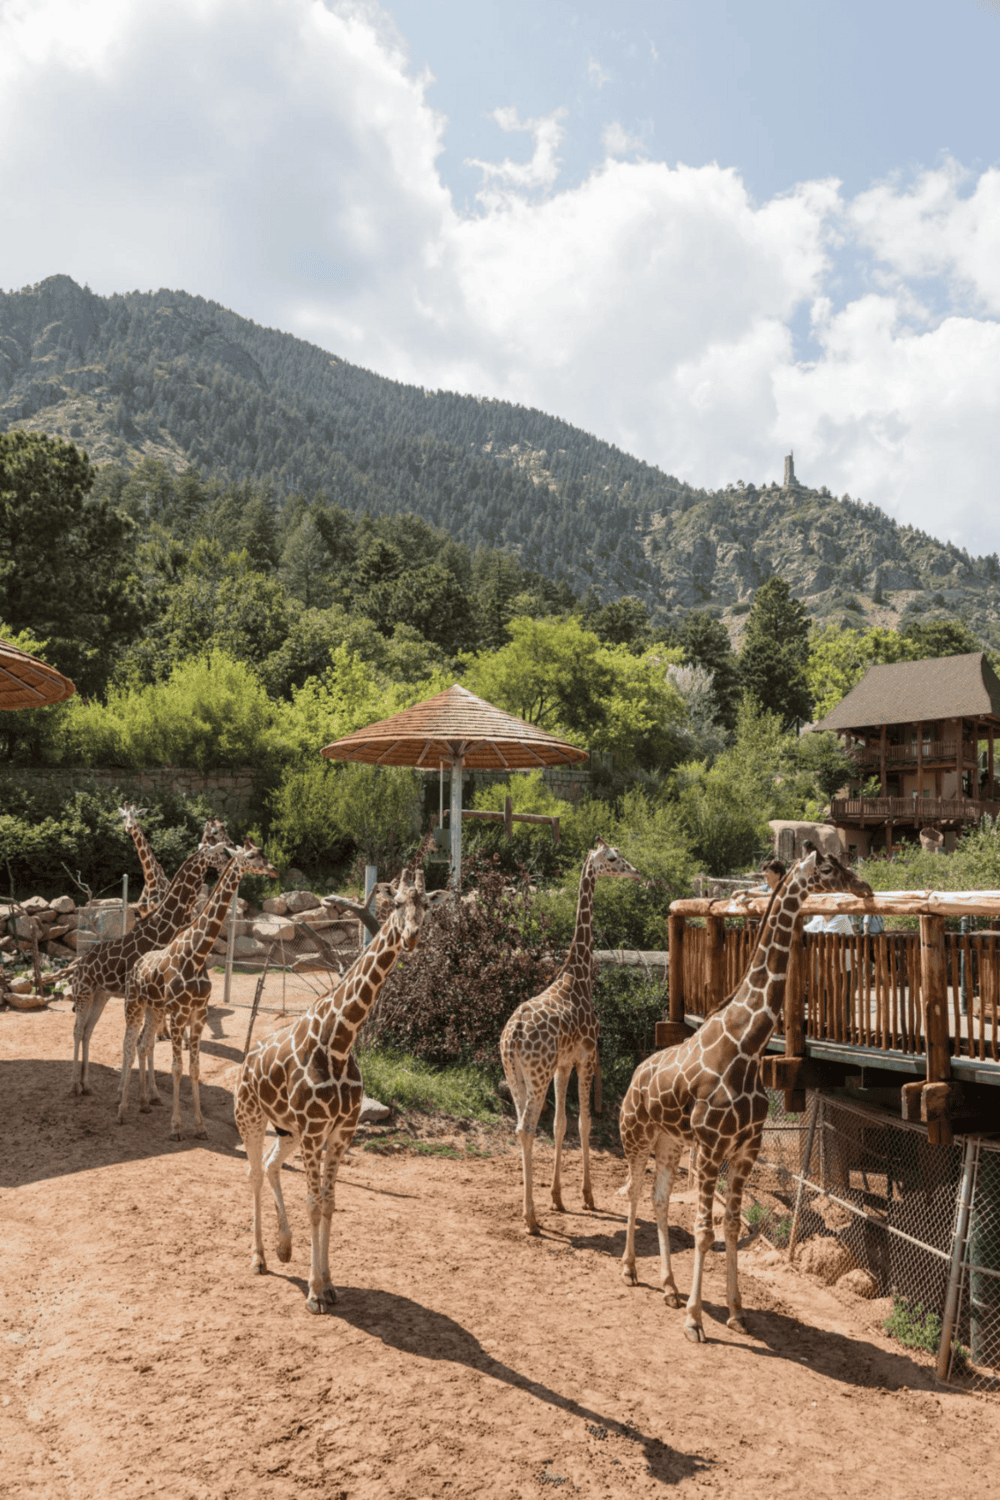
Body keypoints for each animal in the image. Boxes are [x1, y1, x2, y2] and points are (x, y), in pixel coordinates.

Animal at [70, 819, 231, 1096]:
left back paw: (87, 1083)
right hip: (84, 992)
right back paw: (74, 1085)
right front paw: (137, 1090)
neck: (161, 927)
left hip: (101, 995)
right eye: (217, 846)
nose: (228, 858)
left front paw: (148, 1090)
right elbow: (140, 1042)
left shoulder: (151, 998)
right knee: (77, 1030)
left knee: (88, 1031)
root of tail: (80, 965)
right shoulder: (144, 996)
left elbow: (146, 1043)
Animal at [117, 840, 279, 1138]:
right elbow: (177, 1067)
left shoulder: (199, 1014)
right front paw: (176, 1126)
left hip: (155, 1009)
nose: (273, 869)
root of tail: (136, 965)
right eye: (252, 856)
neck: (199, 954)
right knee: (128, 1046)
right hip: (133, 1005)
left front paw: (200, 1126)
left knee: (143, 1044)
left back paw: (145, 1102)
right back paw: (122, 1109)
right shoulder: (179, 1014)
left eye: (263, 853)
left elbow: (194, 1068)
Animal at [234, 866, 431, 1313]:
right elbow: (313, 1204)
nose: (411, 936)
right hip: (251, 1118)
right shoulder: (314, 1131)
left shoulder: (339, 1132)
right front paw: (313, 1292)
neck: (340, 1042)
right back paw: (258, 1257)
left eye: (425, 905)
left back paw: (283, 1247)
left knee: (270, 1165)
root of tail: (246, 1062)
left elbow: (328, 1203)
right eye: (396, 903)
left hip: (287, 1130)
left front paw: (328, 1284)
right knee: (252, 1173)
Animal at [500, 840, 640, 1235]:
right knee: (527, 1128)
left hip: (515, 1076)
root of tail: (513, 1036)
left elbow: (561, 1124)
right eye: (613, 858)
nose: (636, 872)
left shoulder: (563, 1065)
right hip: (537, 1075)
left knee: (522, 1127)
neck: (577, 976)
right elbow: (585, 1123)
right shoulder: (587, 1057)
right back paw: (530, 1219)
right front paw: (588, 1197)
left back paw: (531, 1211)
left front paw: (558, 1198)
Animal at [618, 849, 872, 1343]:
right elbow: (703, 1232)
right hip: (636, 1136)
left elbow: (732, 1227)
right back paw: (630, 1271)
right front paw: (695, 1320)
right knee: (636, 1191)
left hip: (670, 1142)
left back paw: (669, 1288)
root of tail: (635, 1075)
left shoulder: (744, 1149)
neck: (749, 1044)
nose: (864, 888)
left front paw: (736, 1313)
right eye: (828, 868)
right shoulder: (711, 1147)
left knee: (659, 1200)